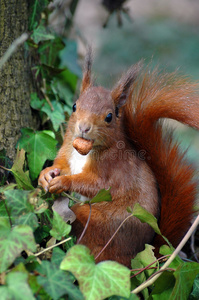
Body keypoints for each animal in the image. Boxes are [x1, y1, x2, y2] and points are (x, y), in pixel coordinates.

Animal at [38, 52, 199, 268]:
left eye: (109, 116)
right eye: (74, 106)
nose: (83, 127)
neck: (85, 151)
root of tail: (141, 256)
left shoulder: (112, 168)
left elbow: (96, 185)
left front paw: (64, 182)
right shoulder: (67, 150)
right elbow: (62, 165)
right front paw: (46, 175)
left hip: (98, 222)